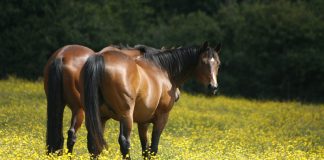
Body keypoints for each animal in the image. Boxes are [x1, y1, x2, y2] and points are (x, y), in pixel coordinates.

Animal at [80, 41, 220, 159]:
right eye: (203, 62)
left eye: (218, 63)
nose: (213, 86)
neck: (163, 70)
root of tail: (100, 58)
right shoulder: (162, 118)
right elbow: (153, 148)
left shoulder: (143, 122)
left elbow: (145, 149)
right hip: (126, 116)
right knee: (124, 142)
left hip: (100, 117)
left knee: (94, 144)